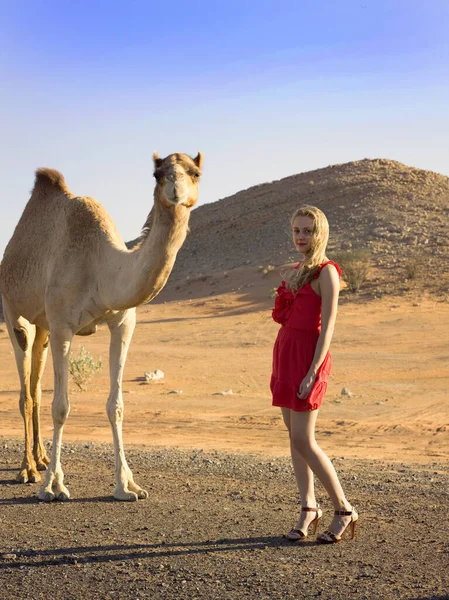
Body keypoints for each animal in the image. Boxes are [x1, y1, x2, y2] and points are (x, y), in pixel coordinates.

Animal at [0, 151, 203, 502]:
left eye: (195, 172)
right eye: (157, 173)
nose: (175, 190)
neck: (99, 265)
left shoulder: (122, 323)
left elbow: (116, 406)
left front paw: (127, 486)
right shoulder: (63, 325)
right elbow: (61, 406)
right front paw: (53, 486)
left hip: (43, 327)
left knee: (35, 385)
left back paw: (41, 458)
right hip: (14, 311)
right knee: (25, 388)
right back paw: (28, 469)